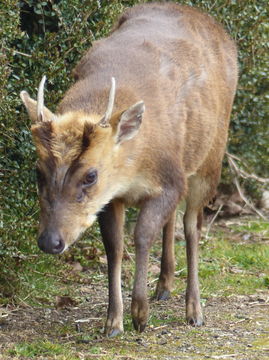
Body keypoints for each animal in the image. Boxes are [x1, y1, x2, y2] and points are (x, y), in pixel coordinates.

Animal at [19, 2, 236, 336]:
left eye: (90, 175)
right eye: (38, 171)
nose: (50, 241)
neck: (134, 166)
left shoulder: (170, 178)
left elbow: (143, 234)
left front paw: (140, 314)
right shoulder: (111, 196)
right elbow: (114, 245)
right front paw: (113, 321)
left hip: (211, 158)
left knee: (192, 225)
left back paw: (194, 309)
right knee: (174, 220)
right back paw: (164, 286)